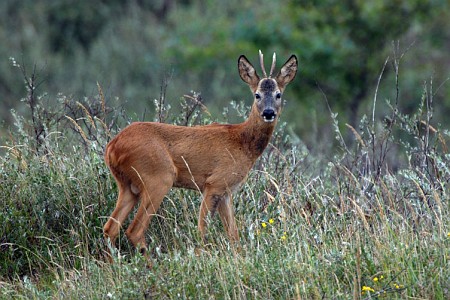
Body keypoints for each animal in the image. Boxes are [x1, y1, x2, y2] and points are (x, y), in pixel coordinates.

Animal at [103, 51, 298, 255]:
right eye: (257, 95)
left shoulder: (226, 192)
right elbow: (202, 230)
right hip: (158, 178)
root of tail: (112, 146)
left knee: (110, 228)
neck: (242, 143)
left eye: (278, 94)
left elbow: (233, 235)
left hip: (127, 186)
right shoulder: (214, 183)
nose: (268, 113)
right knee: (134, 231)